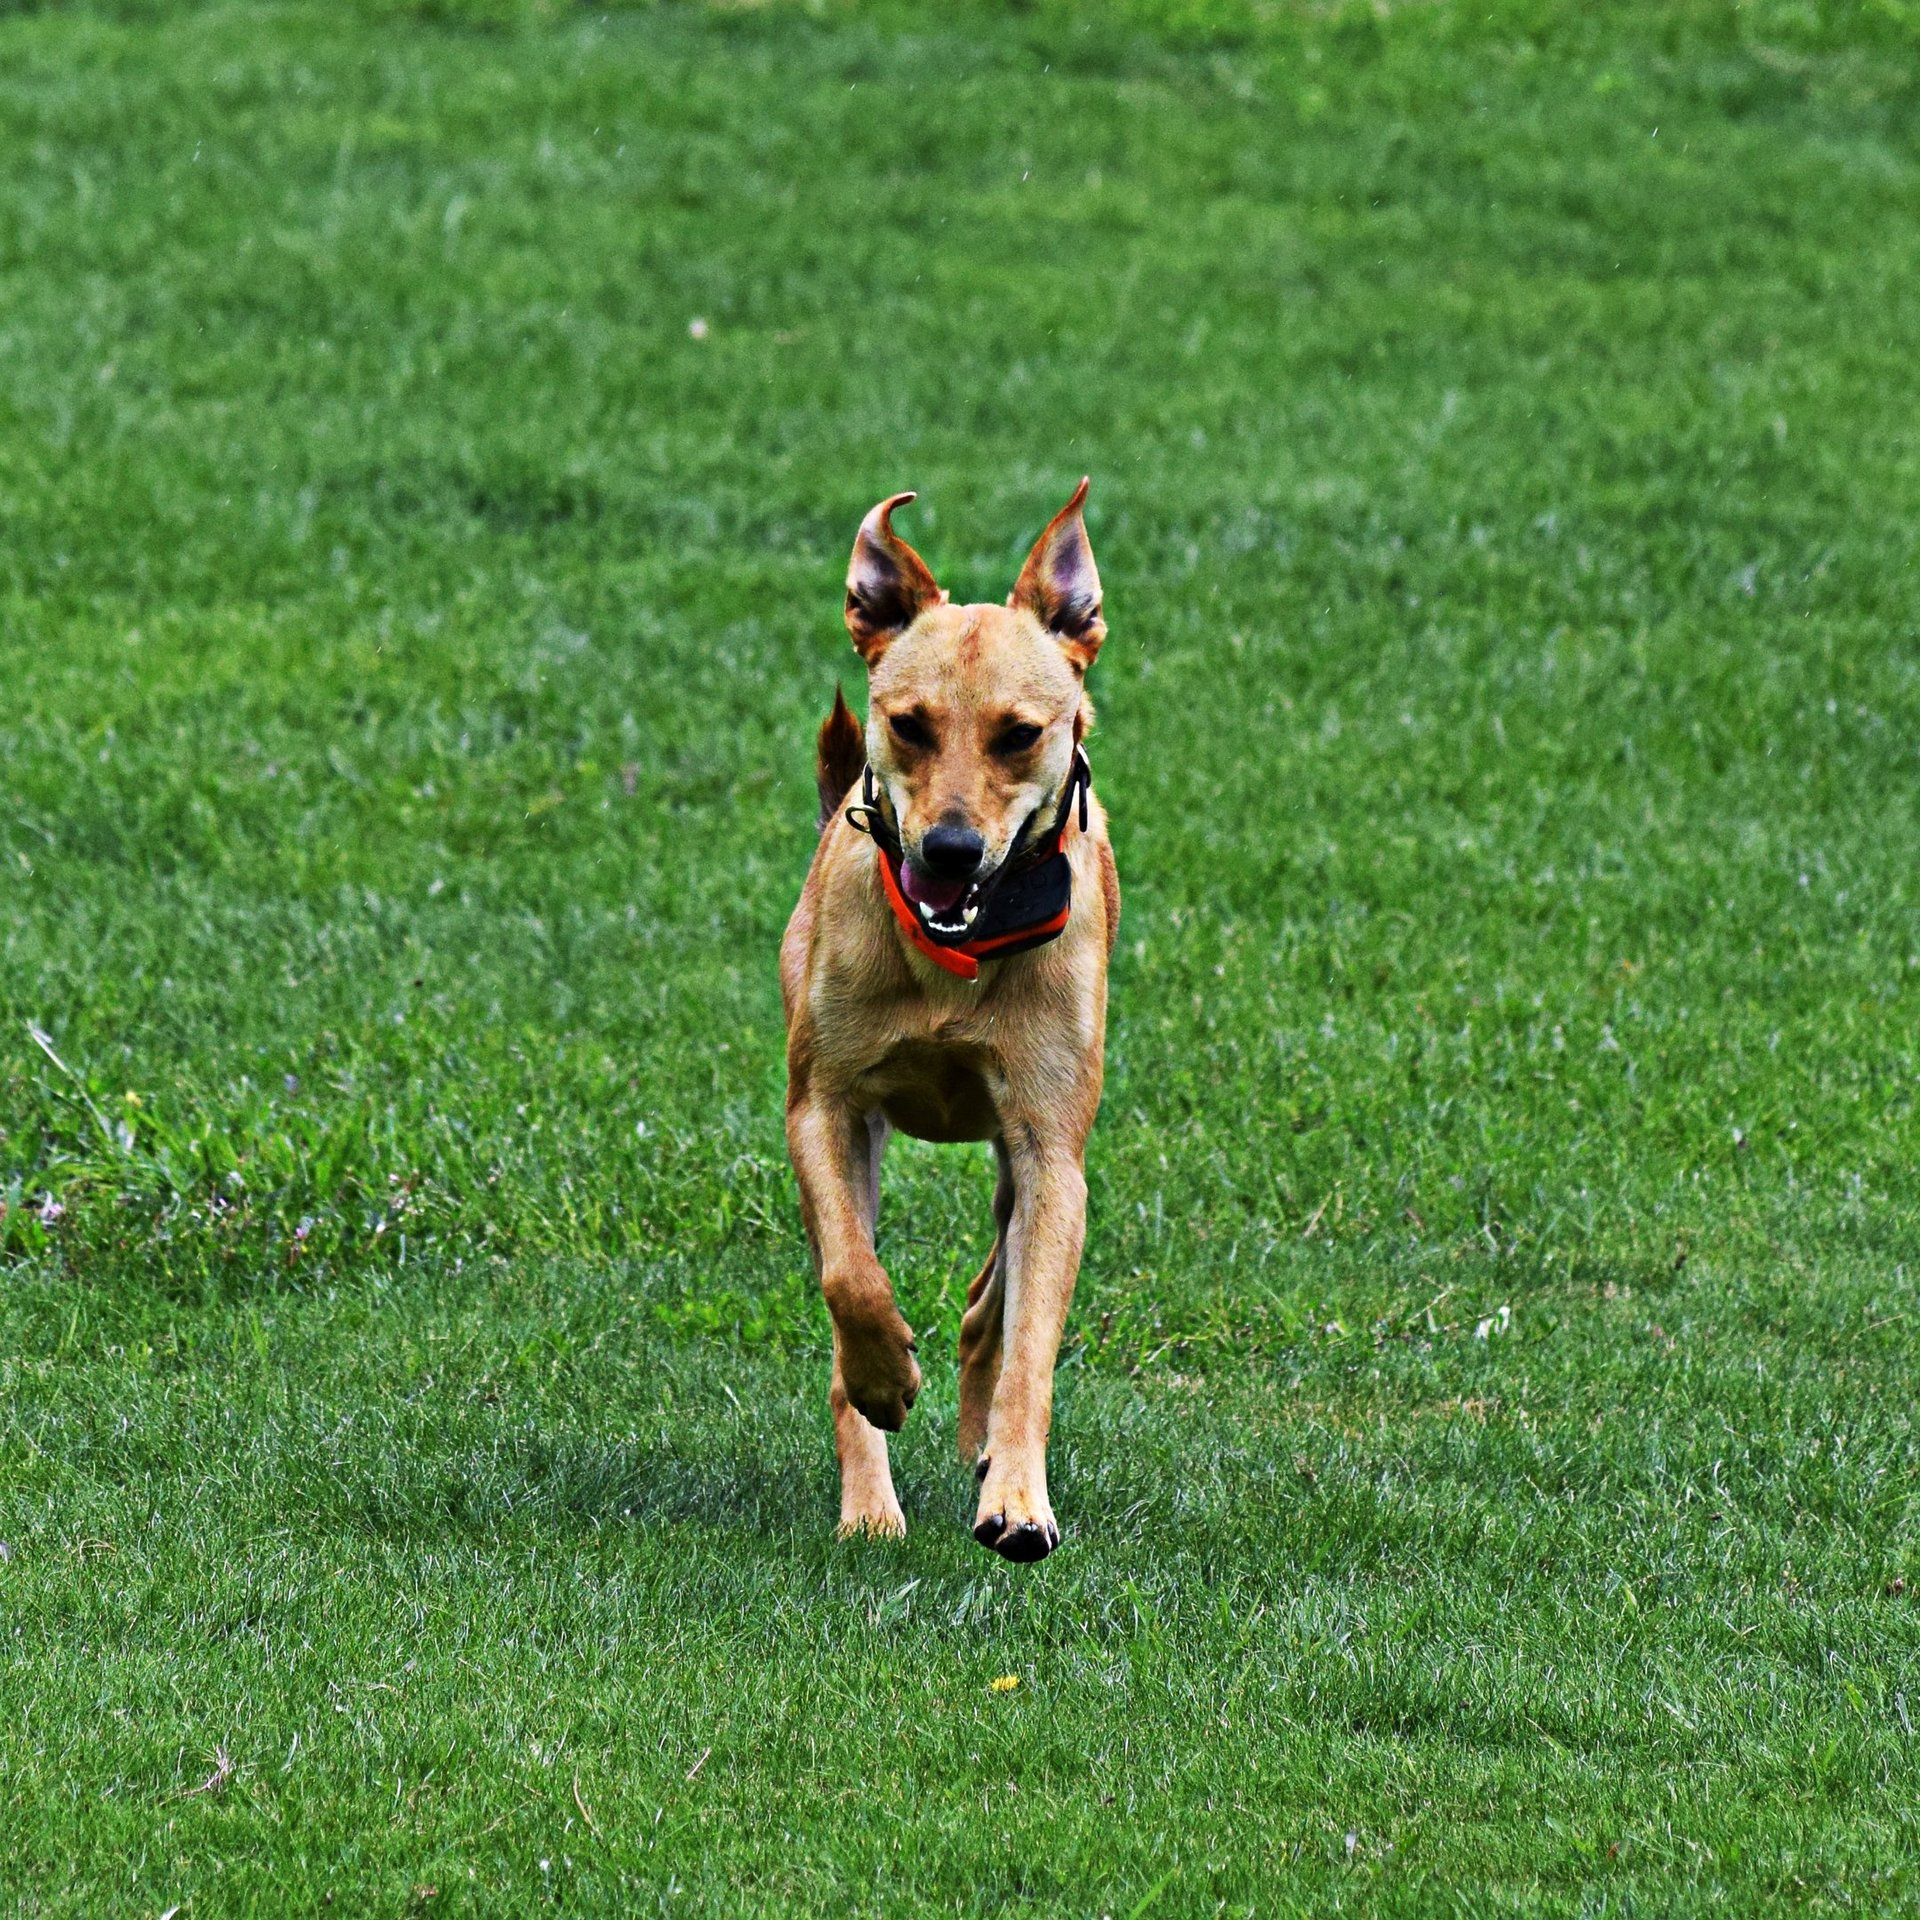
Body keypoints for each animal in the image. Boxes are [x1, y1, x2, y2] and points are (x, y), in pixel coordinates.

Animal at [780, 481, 1119, 1563]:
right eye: (909, 723)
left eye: (1019, 733)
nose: (952, 851)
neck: (956, 957)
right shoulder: (826, 1108)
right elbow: (851, 1276)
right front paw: (886, 1377)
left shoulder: (1051, 1145)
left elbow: (1029, 1341)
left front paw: (1017, 1498)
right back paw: (870, 1498)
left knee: (992, 1302)